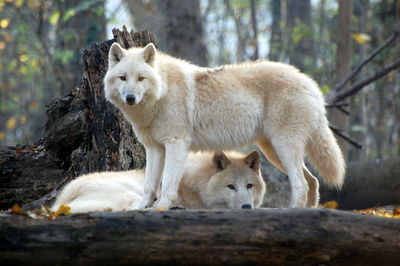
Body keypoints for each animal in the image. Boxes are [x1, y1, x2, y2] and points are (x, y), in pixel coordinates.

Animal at [104, 42, 346, 209]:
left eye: (141, 78)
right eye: (123, 78)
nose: (130, 98)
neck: (162, 92)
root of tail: (310, 83)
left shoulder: (176, 145)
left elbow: (168, 183)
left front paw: (161, 207)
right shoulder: (154, 148)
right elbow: (149, 184)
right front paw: (142, 207)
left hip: (283, 147)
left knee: (300, 183)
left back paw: (292, 210)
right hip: (274, 151)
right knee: (313, 181)